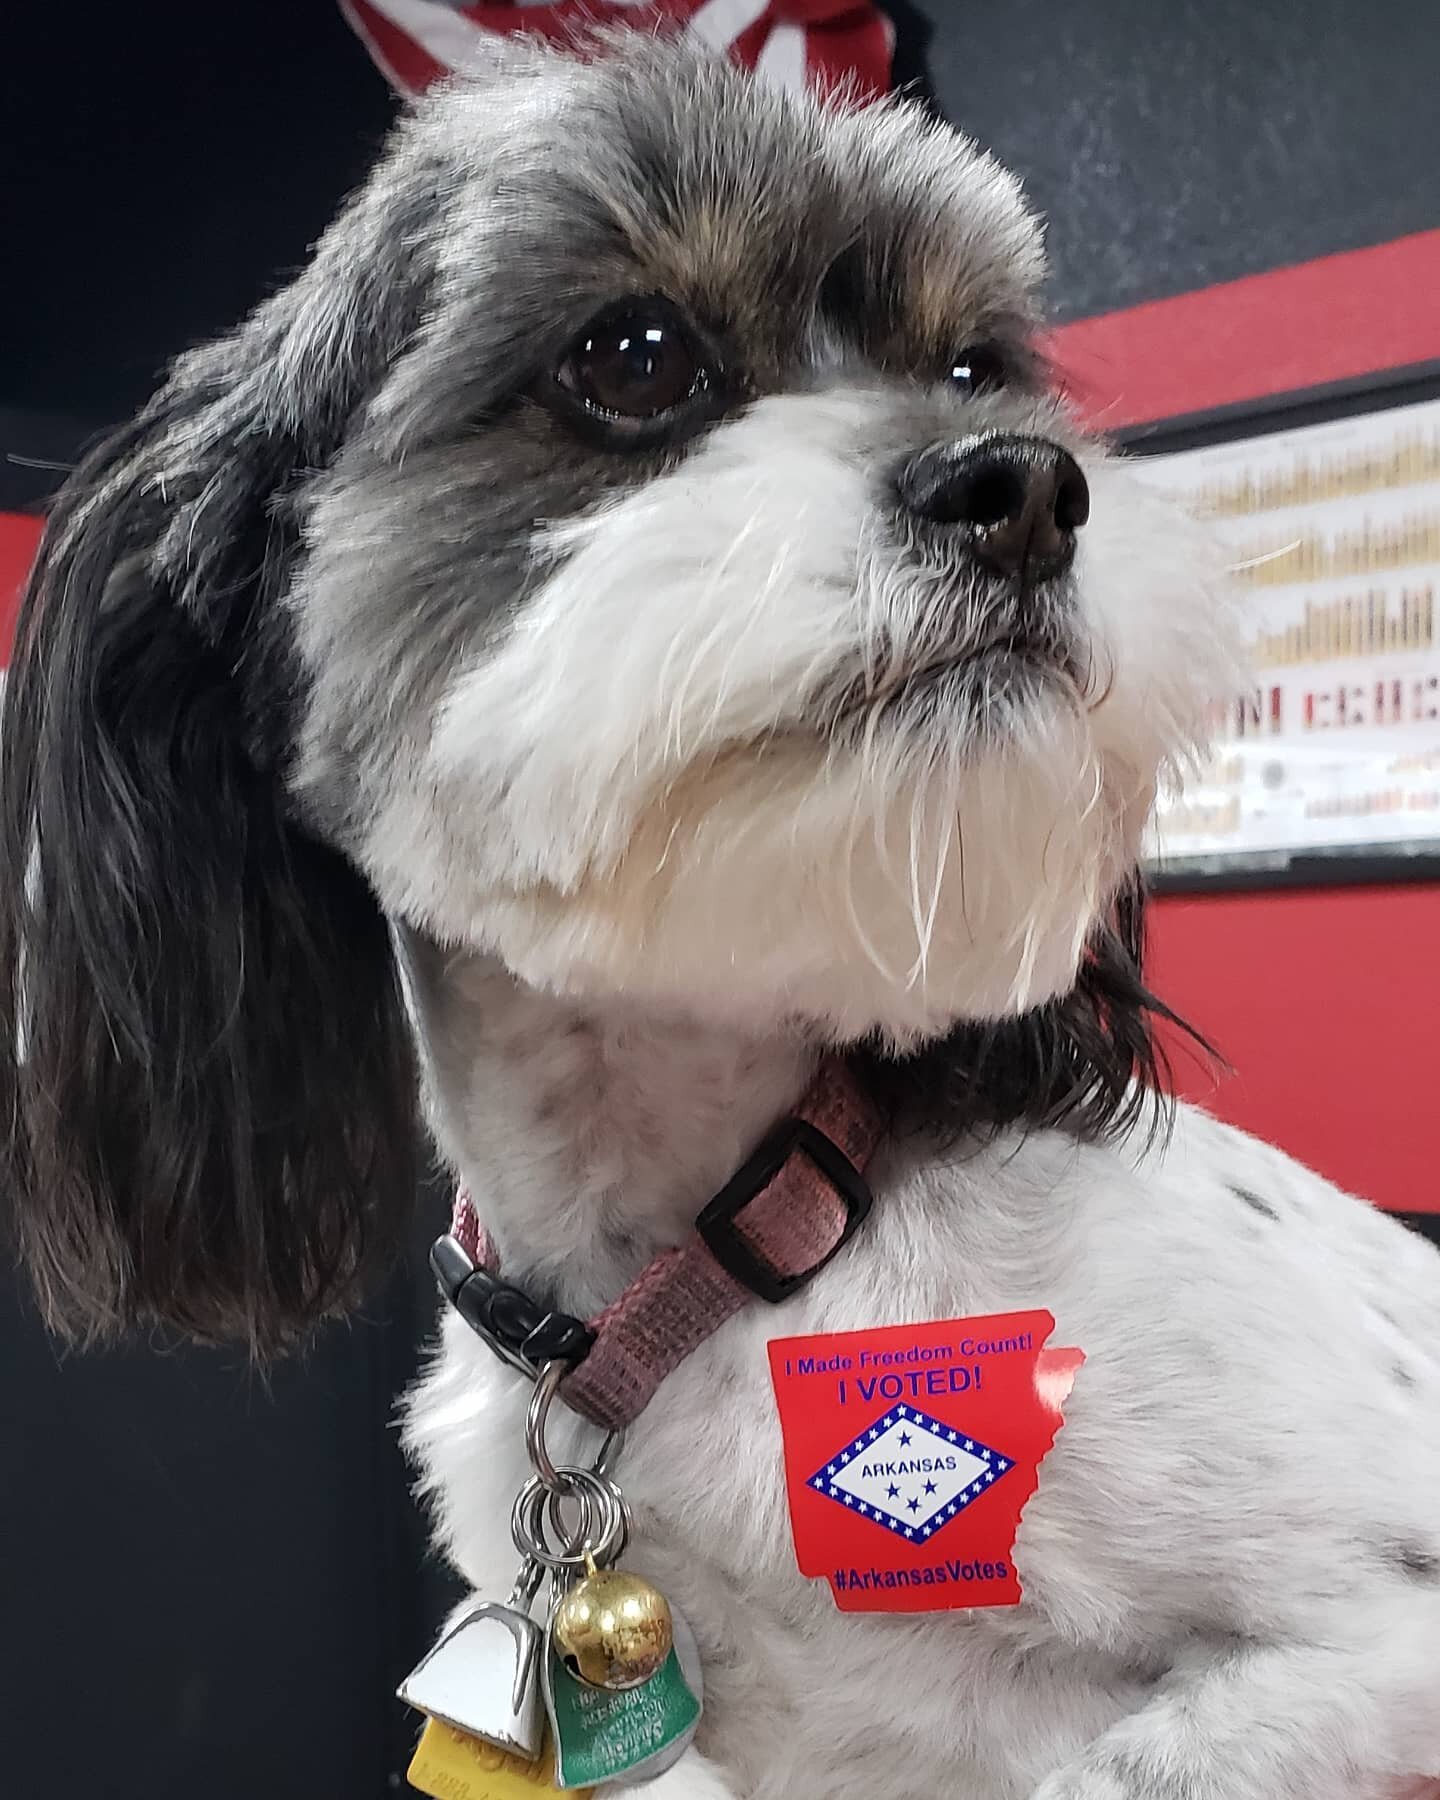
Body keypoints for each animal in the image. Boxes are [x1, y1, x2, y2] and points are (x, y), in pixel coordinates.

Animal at [2, 28, 1440, 1800]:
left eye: (975, 370)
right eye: (634, 356)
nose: (1028, 485)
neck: (737, 1249)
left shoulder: (1375, 1633)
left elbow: (1123, 1760)